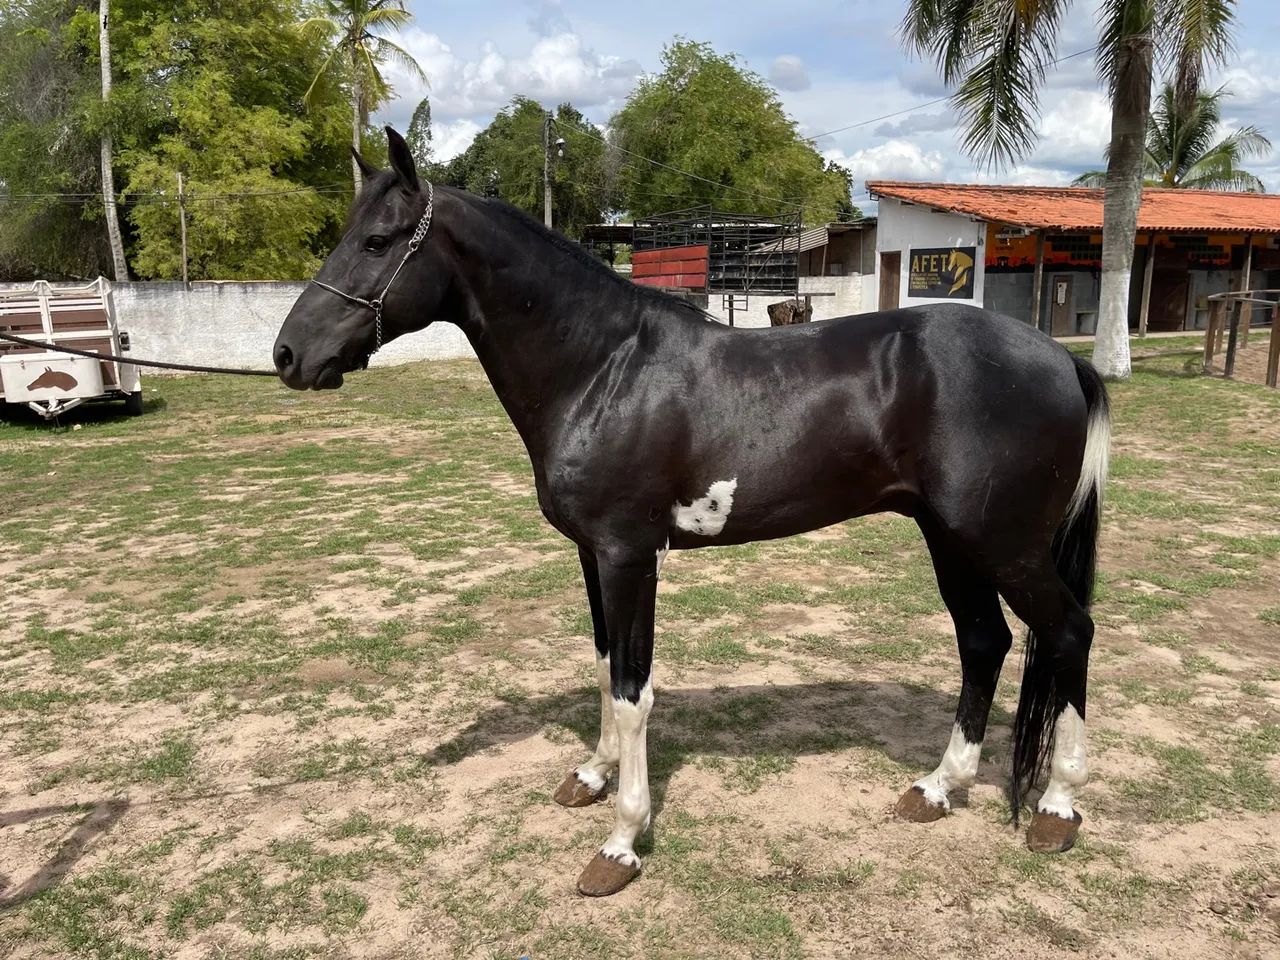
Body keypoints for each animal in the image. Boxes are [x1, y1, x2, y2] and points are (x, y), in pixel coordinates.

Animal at [273, 128, 1110, 898]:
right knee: (984, 642)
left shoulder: (628, 555)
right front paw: (593, 776)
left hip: (1003, 545)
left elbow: (632, 690)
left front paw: (620, 843)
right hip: (952, 539)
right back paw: (937, 788)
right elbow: (603, 664)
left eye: (378, 241)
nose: (287, 355)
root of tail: (1062, 359)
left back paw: (1056, 810)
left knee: (1068, 633)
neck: (603, 366)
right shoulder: (592, 555)